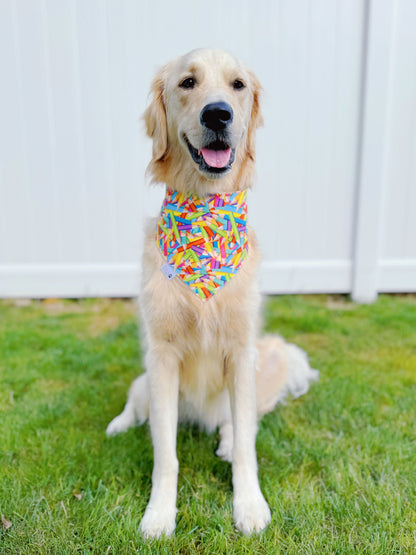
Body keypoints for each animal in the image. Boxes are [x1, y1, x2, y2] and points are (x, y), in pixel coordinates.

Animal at [107, 48, 318, 540]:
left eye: (237, 85)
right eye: (188, 82)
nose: (218, 114)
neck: (205, 213)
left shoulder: (242, 352)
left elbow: (246, 449)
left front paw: (249, 505)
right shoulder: (161, 356)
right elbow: (165, 455)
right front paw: (159, 514)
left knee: (237, 426)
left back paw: (222, 438)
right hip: (146, 379)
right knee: (136, 403)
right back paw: (119, 424)